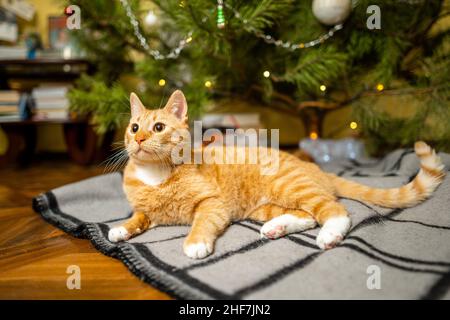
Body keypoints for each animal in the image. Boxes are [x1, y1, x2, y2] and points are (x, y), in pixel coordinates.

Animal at [108, 90, 446, 260]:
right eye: (134, 127)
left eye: (159, 127)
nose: (139, 139)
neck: (155, 175)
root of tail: (316, 167)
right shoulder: (148, 213)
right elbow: (138, 218)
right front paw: (120, 228)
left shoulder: (212, 204)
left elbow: (201, 222)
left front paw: (195, 242)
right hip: (265, 206)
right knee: (308, 215)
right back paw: (277, 227)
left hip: (291, 187)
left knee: (335, 210)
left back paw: (329, 234)